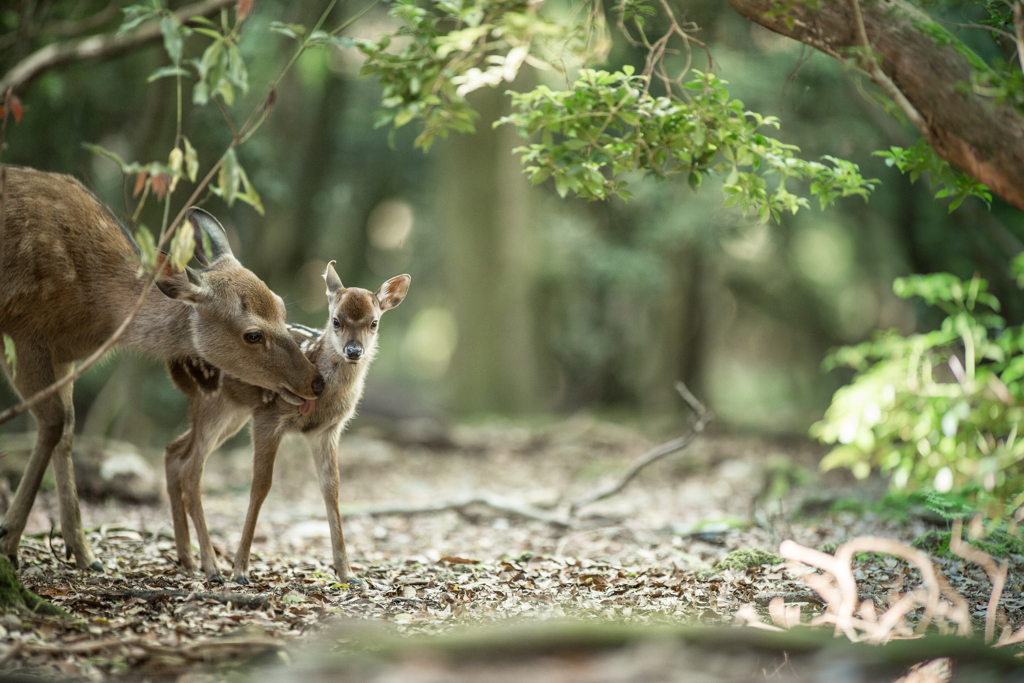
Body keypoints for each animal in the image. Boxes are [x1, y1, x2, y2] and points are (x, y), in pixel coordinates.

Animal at [0, 165, 323, 573]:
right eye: (252, 334)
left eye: (281, 307)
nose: (315, 381)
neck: (95, 306)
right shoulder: (23, 334)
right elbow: (54, 423)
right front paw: (10, 540)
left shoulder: (64, 355)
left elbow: (68, 427)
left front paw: (83, 552)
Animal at [165, 262, 409, 581]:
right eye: (336, 321)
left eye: (374, 323)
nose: (354, 351)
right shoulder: (268, 417)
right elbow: (260, 485)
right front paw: (241, 568)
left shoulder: (327, 430)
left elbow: (331, 487)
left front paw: (347, 572)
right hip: (211, 401)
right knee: (191, 468)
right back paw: (212, 565)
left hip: (232, 412)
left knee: (174, 451)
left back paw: (187, 559)